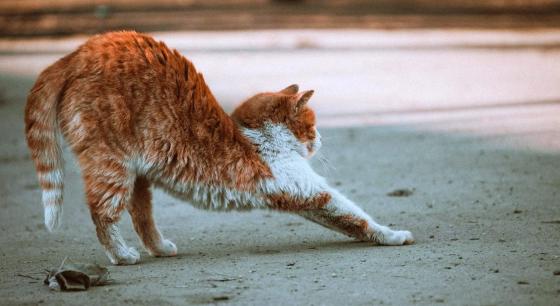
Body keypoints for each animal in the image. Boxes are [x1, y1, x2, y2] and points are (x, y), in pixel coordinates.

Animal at [24, 31, 414, 266]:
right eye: (312, 125)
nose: (319, 140)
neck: (256, 134)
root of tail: (79, 53)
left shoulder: (301, 194)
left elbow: (346, 219)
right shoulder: (306, 189)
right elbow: (355, 217)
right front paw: (393, 235)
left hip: (138, 174)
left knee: (141, 214)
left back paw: (159, 248)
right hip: (112, 166)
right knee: (103, 214)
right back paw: (121, 255)